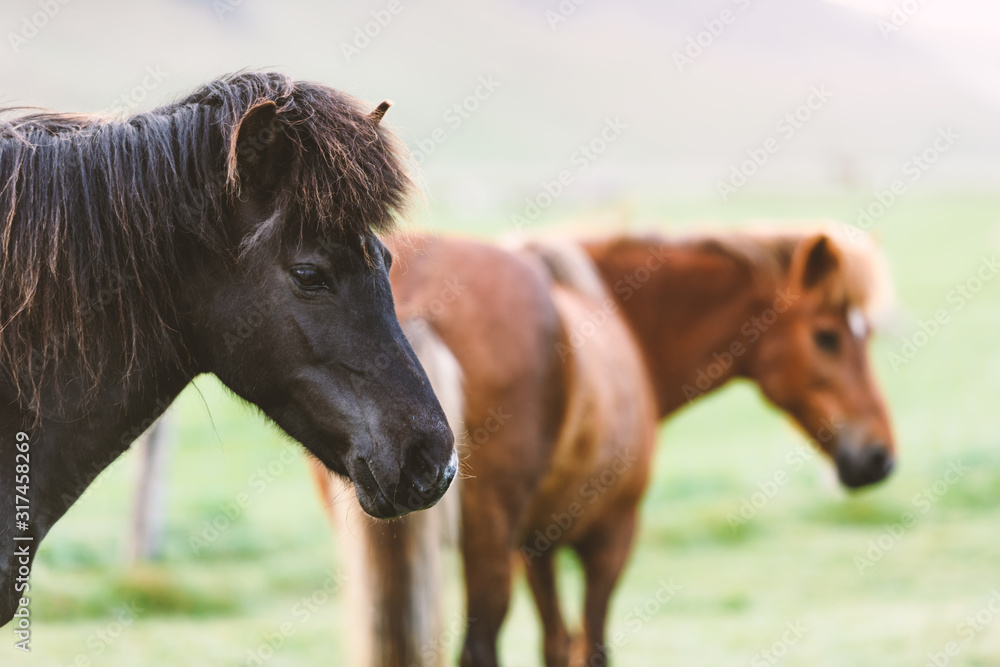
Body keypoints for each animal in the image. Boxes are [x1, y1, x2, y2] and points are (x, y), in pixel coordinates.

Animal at [314, 227, 900, 664]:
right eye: (827, 336)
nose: (880, 456)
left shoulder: (538, 546)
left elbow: (556, 644)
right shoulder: (612, 536)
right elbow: (590, 646)